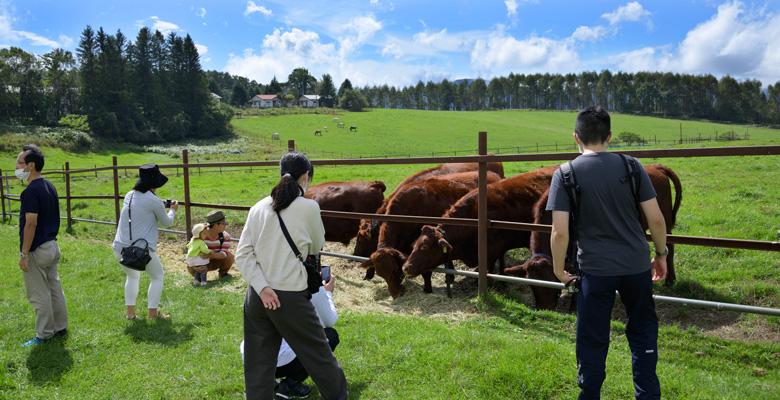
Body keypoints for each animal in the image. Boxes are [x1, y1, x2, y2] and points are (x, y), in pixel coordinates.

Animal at [506, 164, 684, 310]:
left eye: (552, 281)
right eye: (532, 284)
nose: (545, 308)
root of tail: (655, 167)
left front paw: (575, 306)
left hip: (665, 221)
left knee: (669, 246)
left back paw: (670, 279)